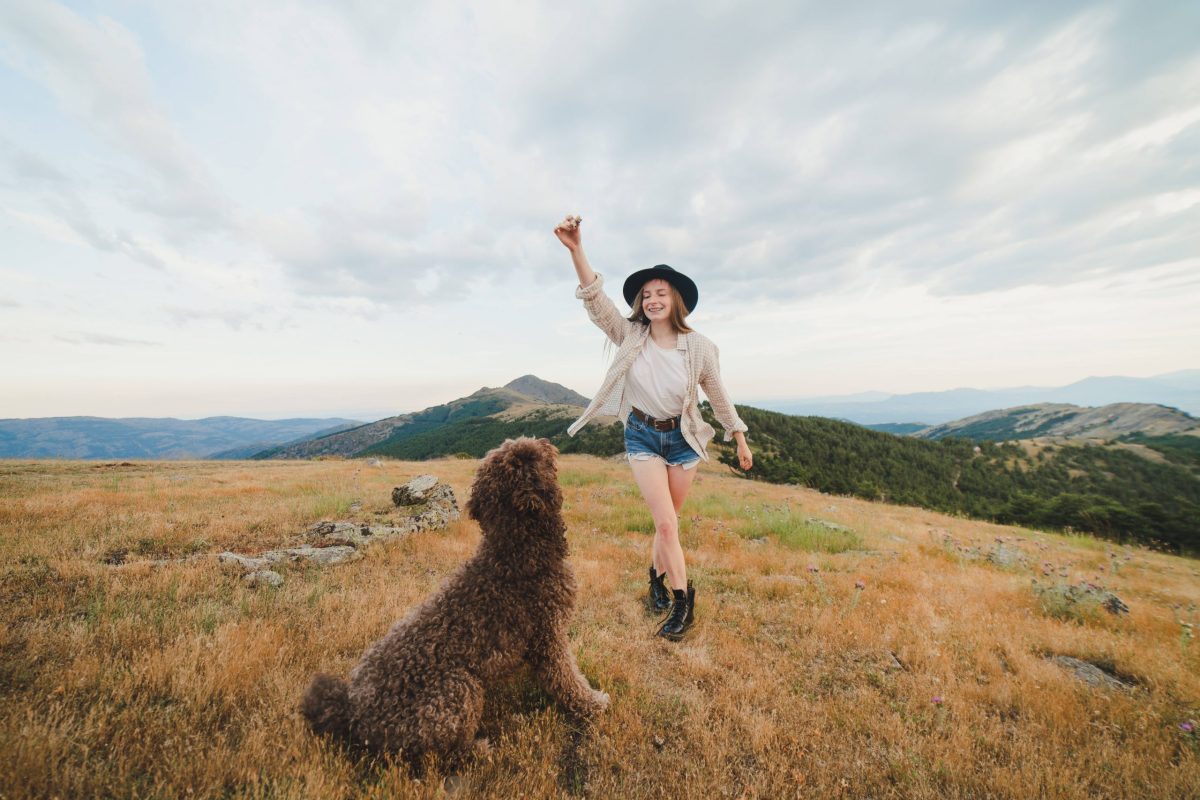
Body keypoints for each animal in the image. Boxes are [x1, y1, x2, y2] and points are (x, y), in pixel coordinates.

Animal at [300, 438, 609, 762]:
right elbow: (567, 678)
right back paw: (480, 749)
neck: (515, 555)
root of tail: (353, 715)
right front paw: (592, 703)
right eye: (528, 457)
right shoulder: (549, 637)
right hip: (458, 688)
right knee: (443, 752)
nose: (543, 443)